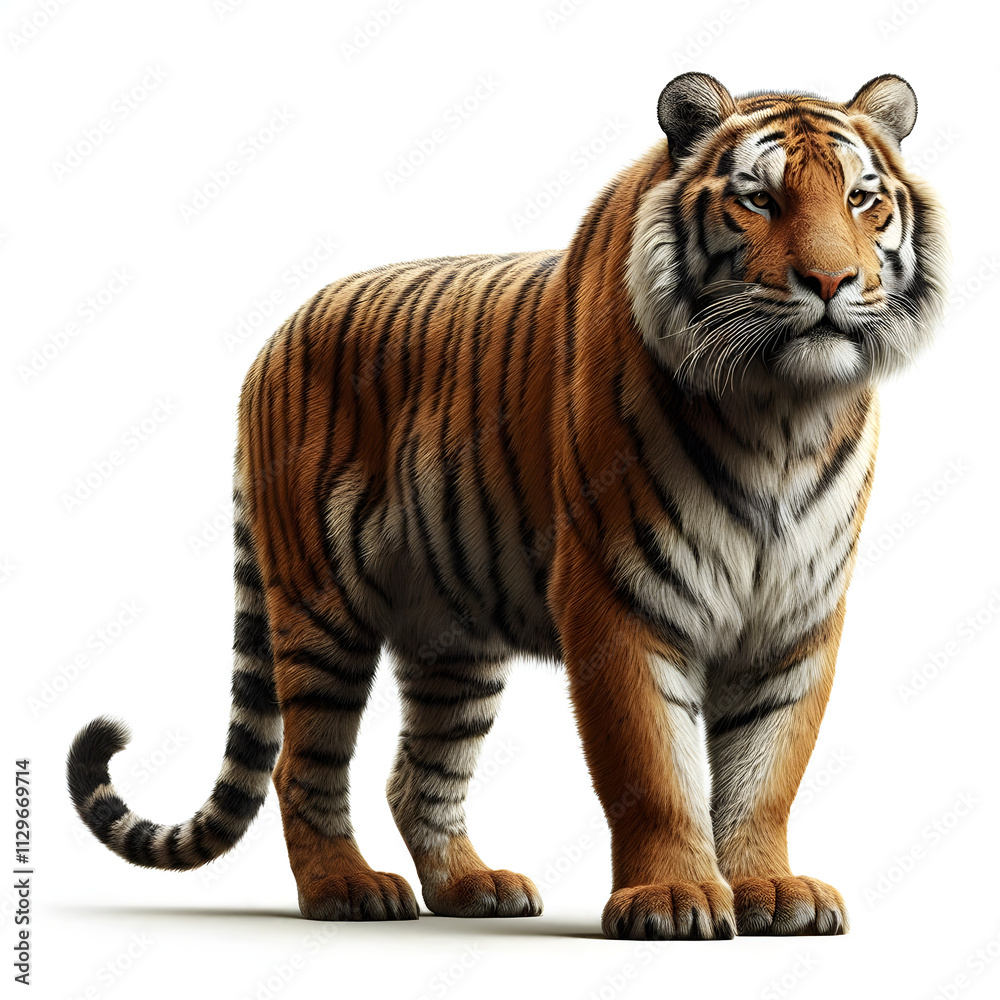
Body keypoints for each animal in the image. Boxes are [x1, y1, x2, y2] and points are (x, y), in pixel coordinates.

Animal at [67, 72, 948, 940]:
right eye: (759, 200)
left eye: (862, 199)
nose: (831, 282)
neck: (782, 415)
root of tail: (273, 338)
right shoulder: (618, 600)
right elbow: (654, 770)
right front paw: (672, 898)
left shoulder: (796, 617)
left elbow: (767, 770)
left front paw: (771, 889)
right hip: (319, 609)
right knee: (300, 765)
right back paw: (346, 889)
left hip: (452, 640)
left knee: (419, 774)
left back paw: (472, 887)